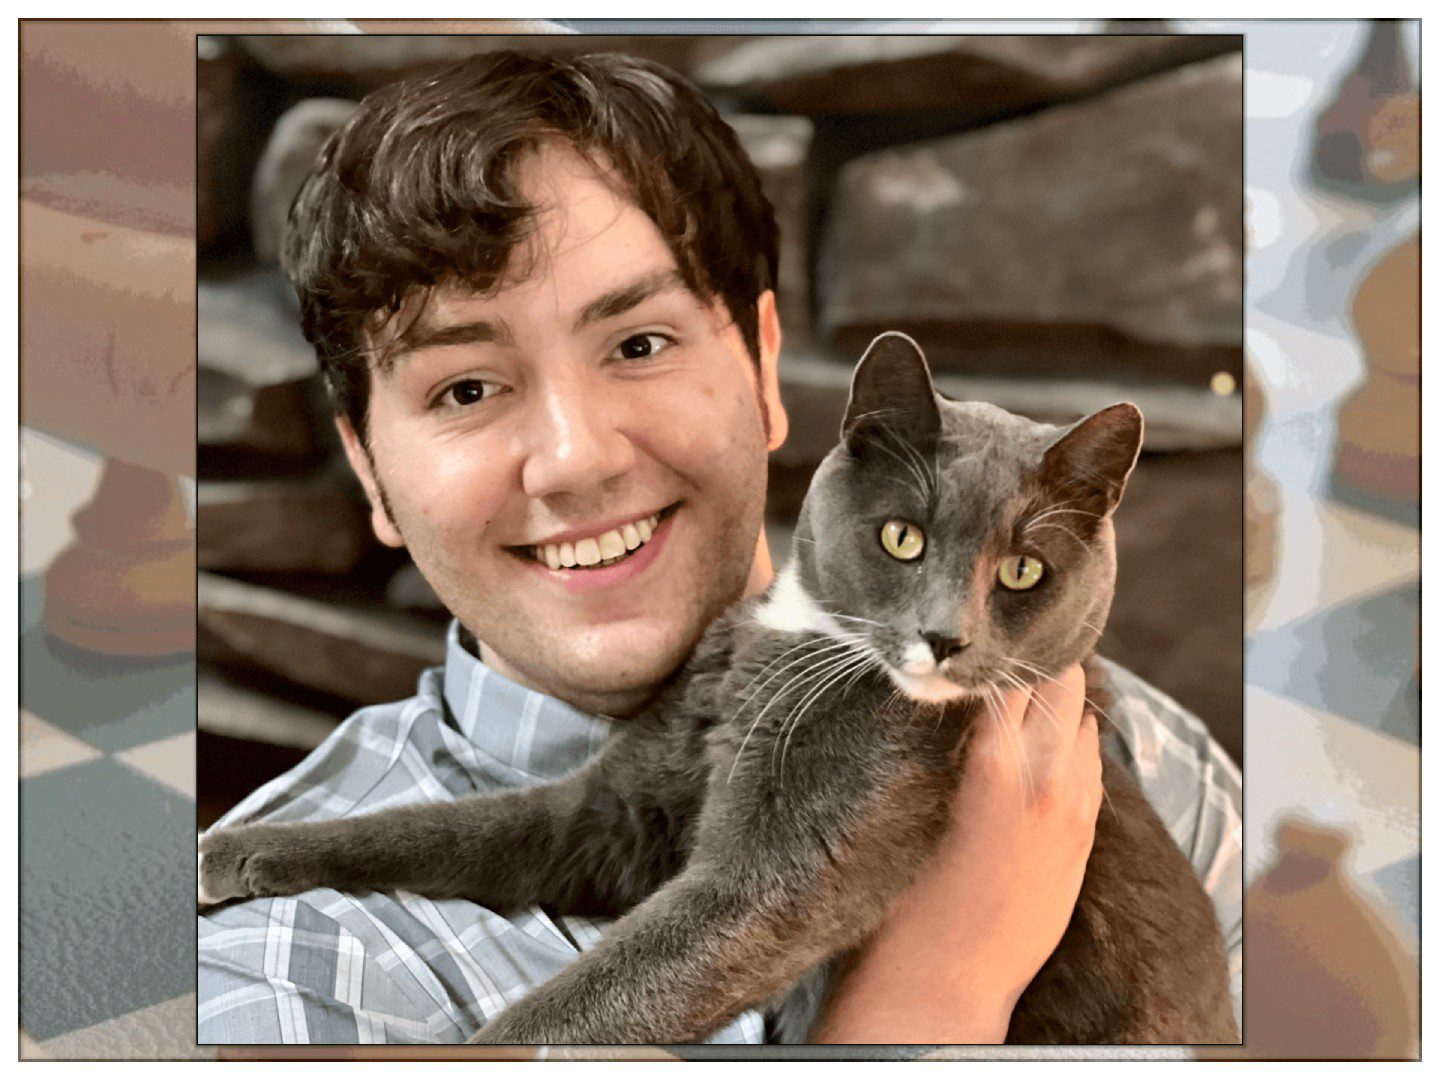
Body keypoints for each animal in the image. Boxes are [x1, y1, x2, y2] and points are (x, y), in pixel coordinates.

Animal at [200, 332, 1238, 1048]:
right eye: (902, 538)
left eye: (1022, 572)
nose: (947, 637)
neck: (793, 642)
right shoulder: (616, 811)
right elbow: (449, 826)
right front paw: (238, 846)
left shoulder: (784, 866)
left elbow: (603, 989)